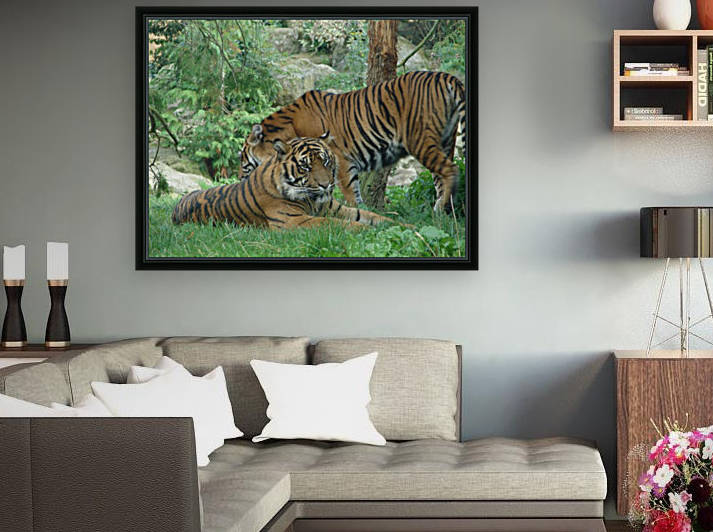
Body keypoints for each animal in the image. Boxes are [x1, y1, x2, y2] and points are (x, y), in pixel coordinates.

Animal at [171, 136, 394, 230]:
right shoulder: (294, 221)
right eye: (305, 167)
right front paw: (368, 231)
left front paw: (398, 225)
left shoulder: (336, 209)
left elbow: (371, 216)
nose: (325, 185)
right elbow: (333, 224)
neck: (313, 200)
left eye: (325, 161)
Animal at [238, 70, 466, 211]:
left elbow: (347, 191)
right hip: (446, 140)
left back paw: (441, 209)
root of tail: (446, 77)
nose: (239, 177)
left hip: (420, 140)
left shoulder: (339, 160)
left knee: (450, 170)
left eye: (242, 158)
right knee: (440, 178)